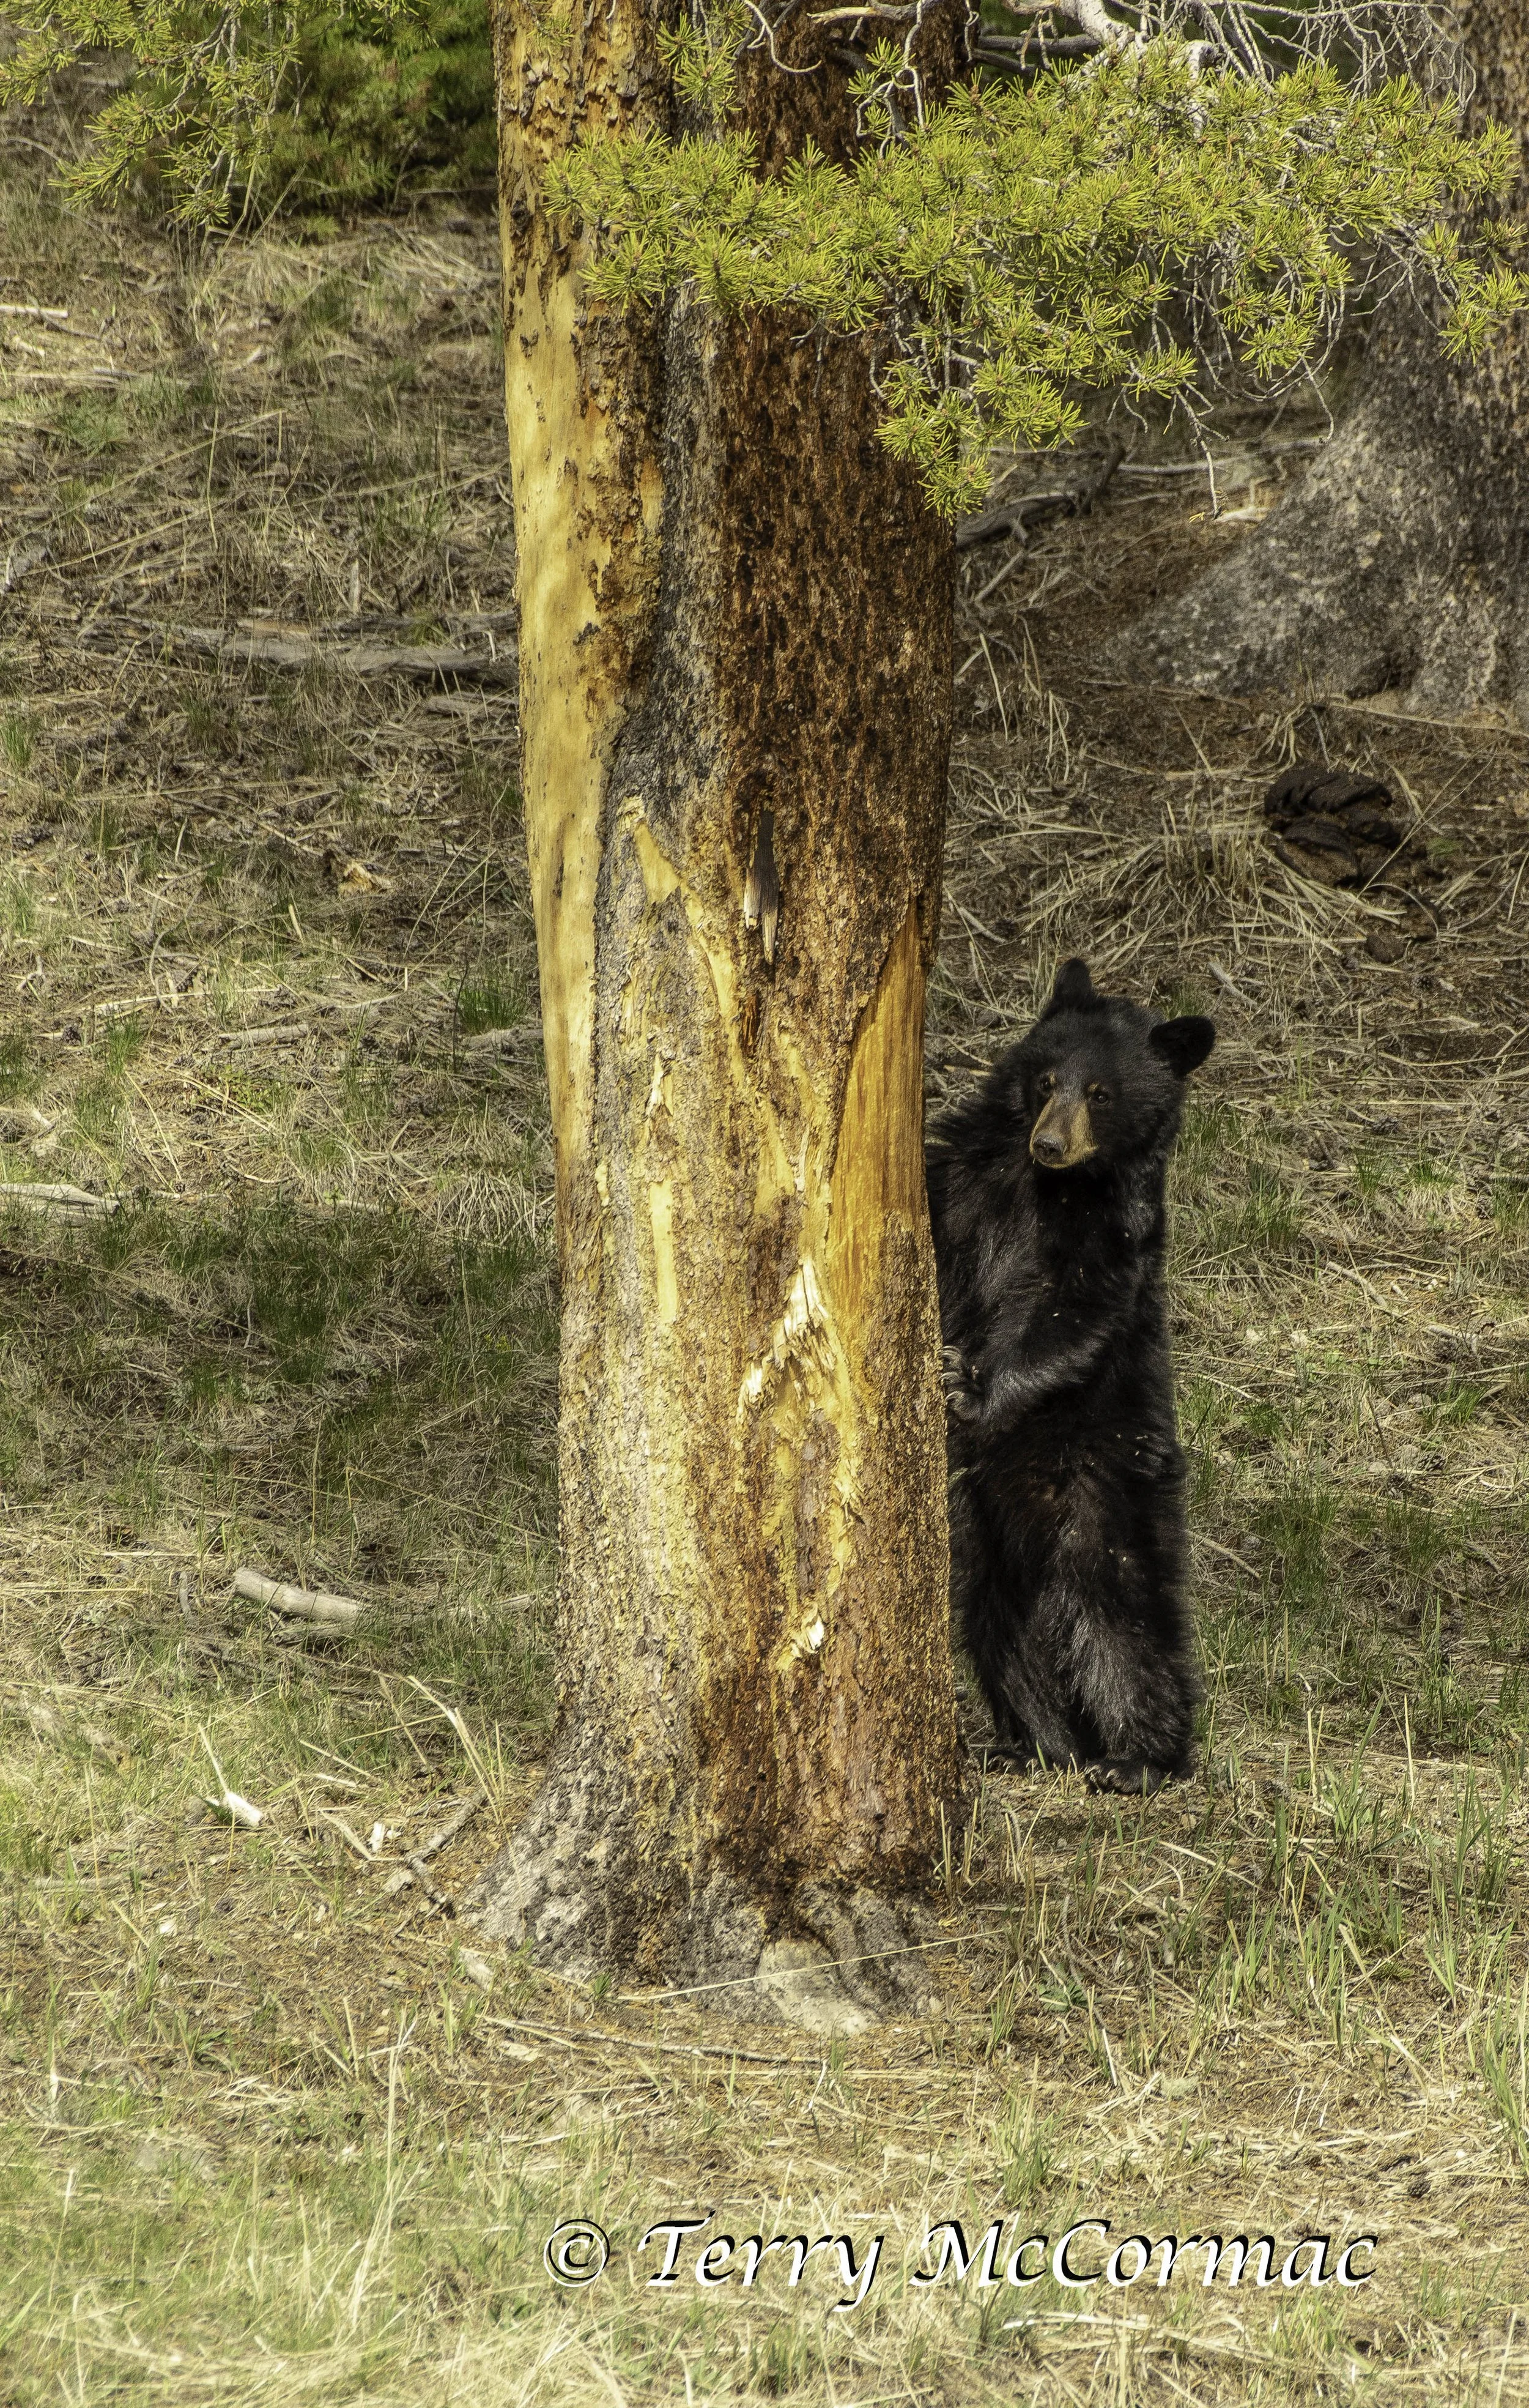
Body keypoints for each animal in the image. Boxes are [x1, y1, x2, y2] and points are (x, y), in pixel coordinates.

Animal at [925, 957, 1216, 1794]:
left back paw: (1138, 1758)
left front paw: (968, 1385)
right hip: (980, 1523)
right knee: (998, 1622)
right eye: (1047, 1078)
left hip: (1107, 1484)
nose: (1050, 1142)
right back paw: (1033, 1744)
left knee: (1123, 1616)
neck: (1048, 1187)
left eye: (1102, 1093)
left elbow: (1072, 1313)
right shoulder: (966, 1177)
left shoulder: (1114, 1231)